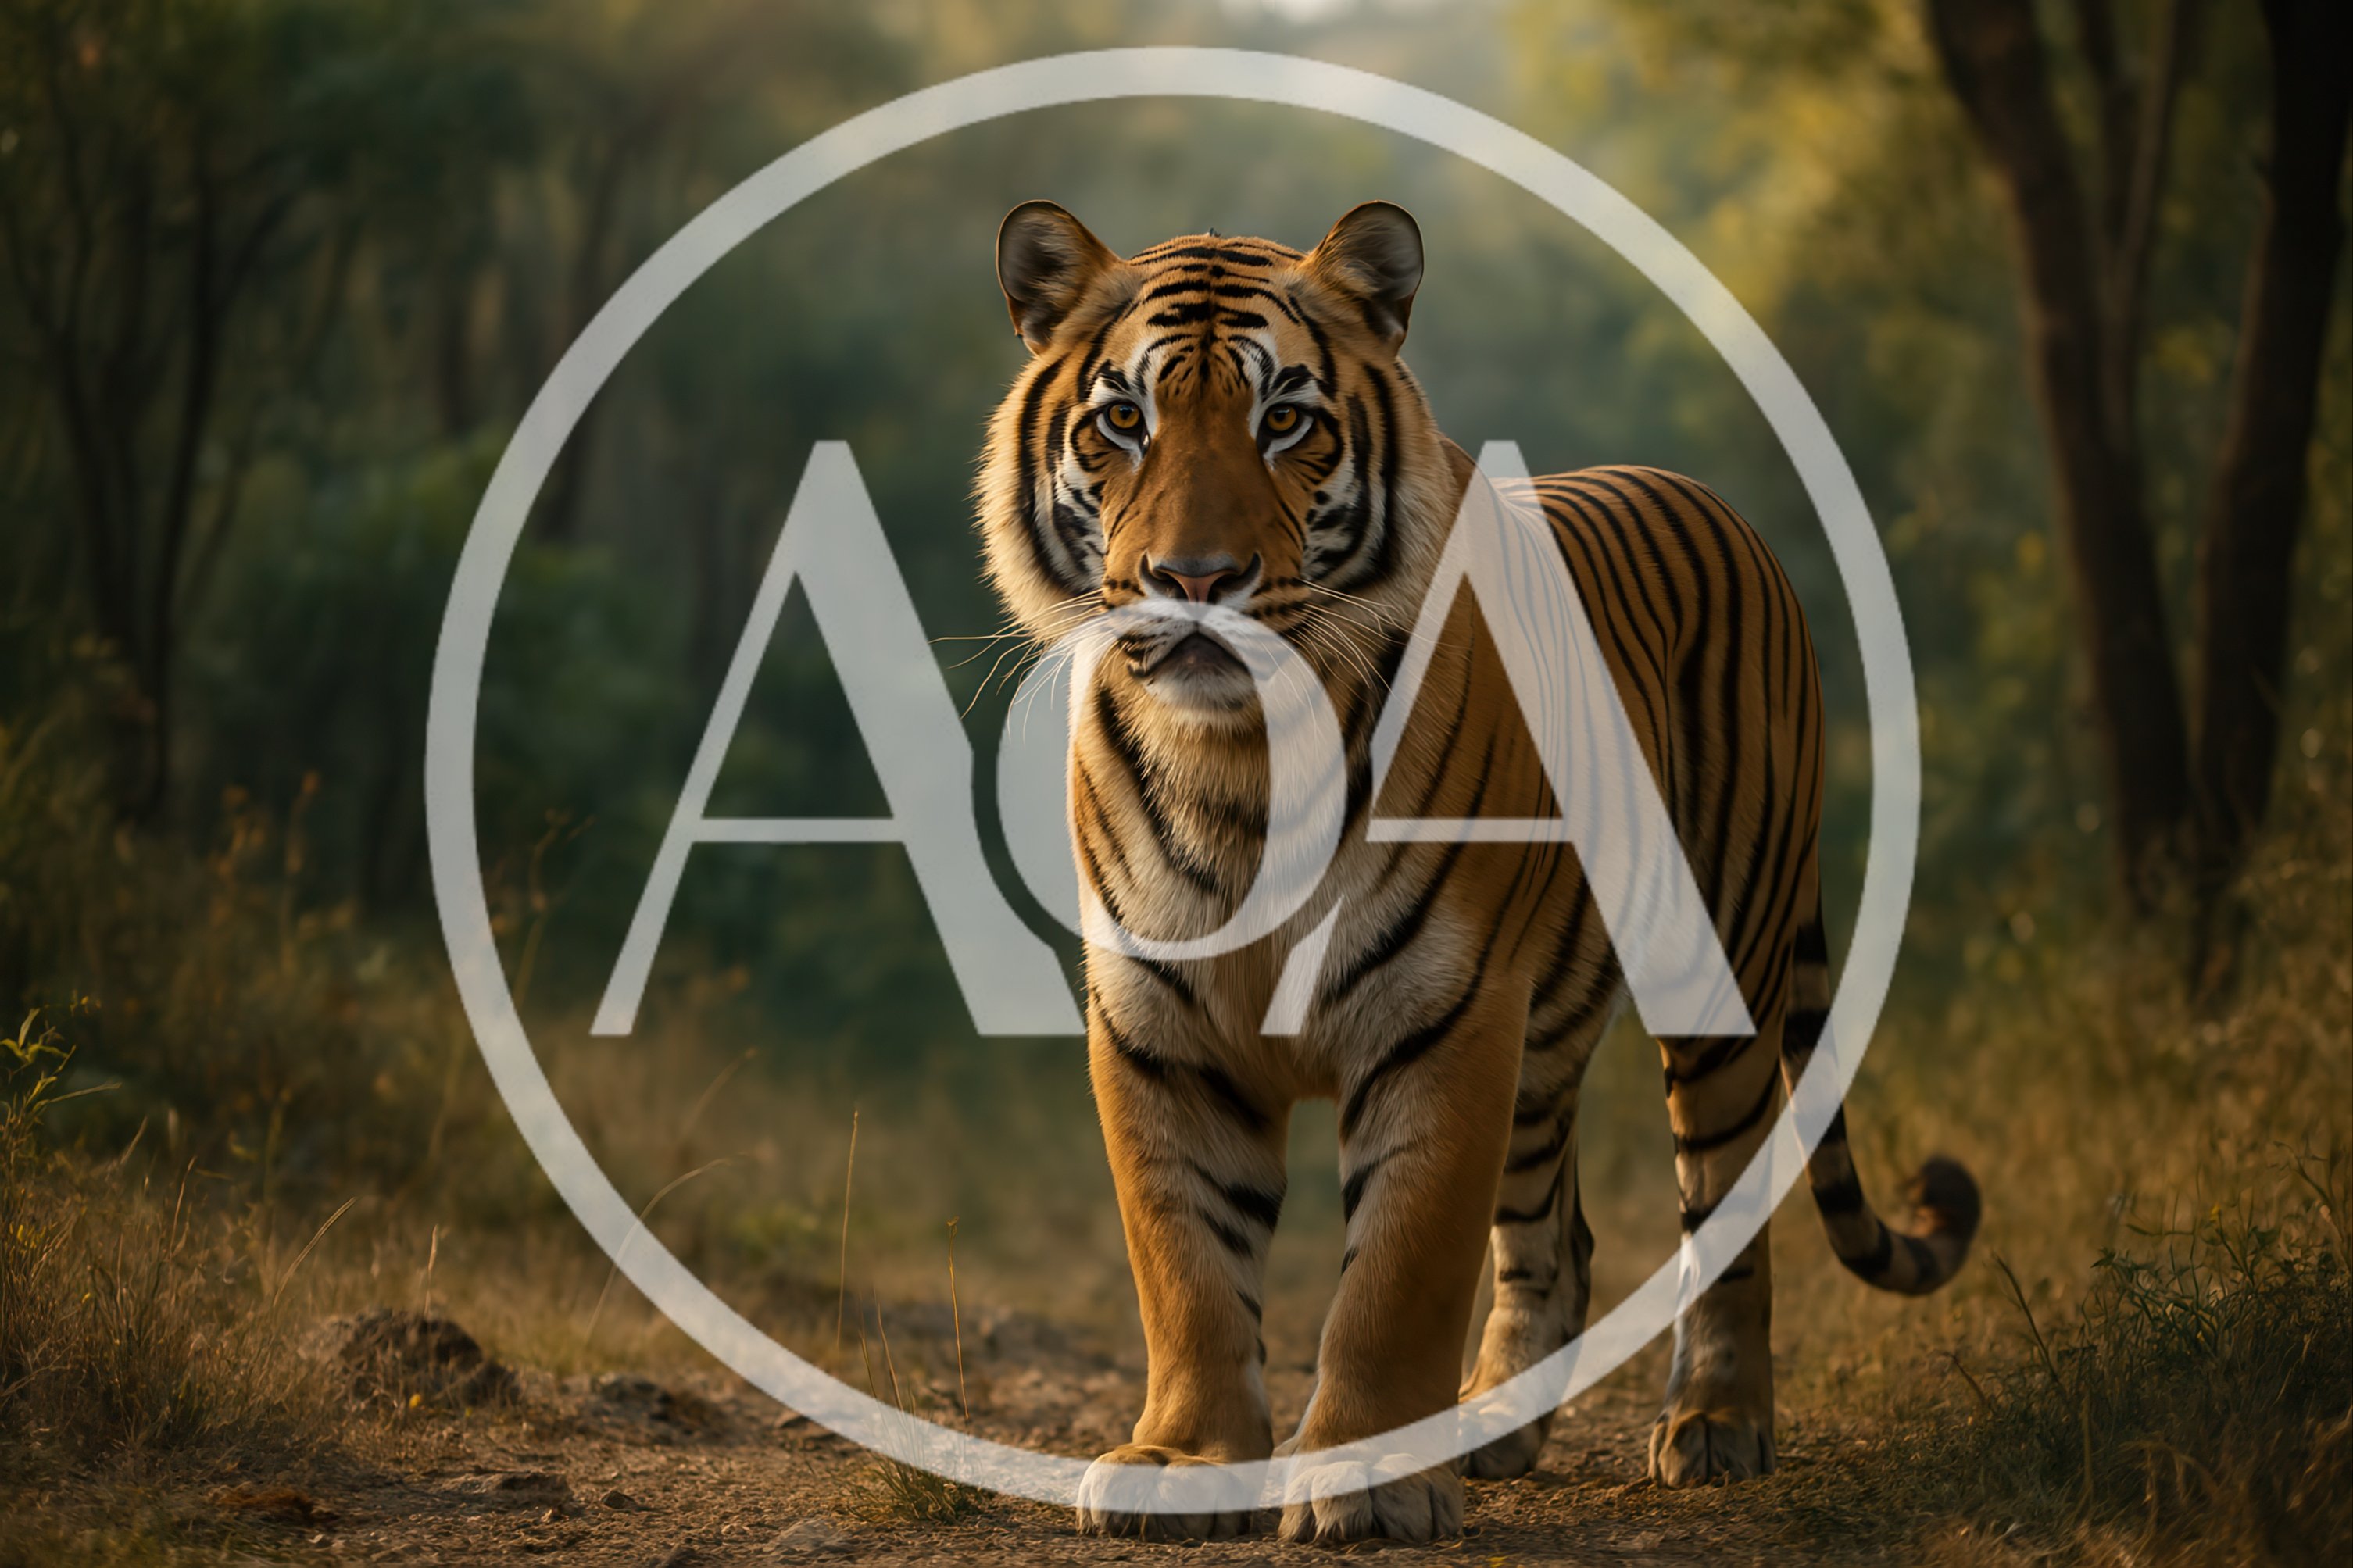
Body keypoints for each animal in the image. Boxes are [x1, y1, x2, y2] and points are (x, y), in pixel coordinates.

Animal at [974, 198, 1980, 1546]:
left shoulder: (1441, 1016)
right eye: (1121, 420)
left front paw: (1364, 1479)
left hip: (1711, 964)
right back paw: (1493, 1424)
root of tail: (1705, 498)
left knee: (1723, 1196)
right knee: (1558, 1229)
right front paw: (1183, 1464)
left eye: (1283, 418)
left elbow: (1398, 1268)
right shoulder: (1158, 1024)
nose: (1193, 581)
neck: (1240, 757)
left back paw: (1713, 1421)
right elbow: (1184, 1260)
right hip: (1543, 1031)